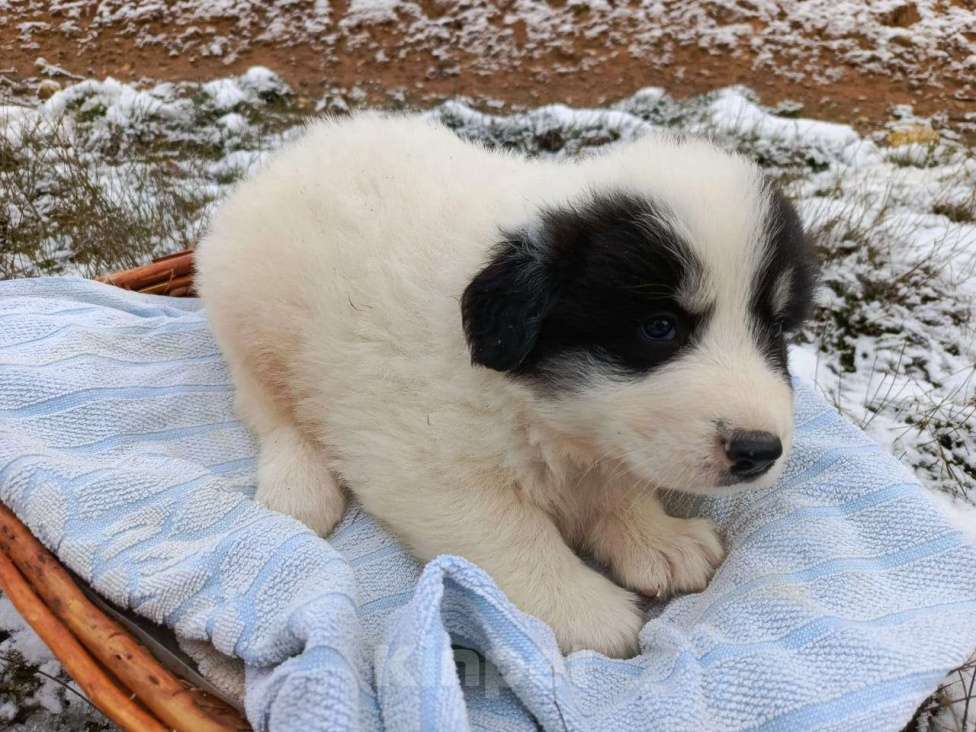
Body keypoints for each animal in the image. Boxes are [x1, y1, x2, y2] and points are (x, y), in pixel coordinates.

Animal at [196, 114, 816, 656]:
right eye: (659, 328)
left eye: (775, 329)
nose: (759, 451)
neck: (540, 408)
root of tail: (297, 150)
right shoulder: (423, 456)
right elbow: (509, 531)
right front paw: (584, 608)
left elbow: (617, 485)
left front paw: (656, 538)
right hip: (253, 312)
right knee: (268, 406)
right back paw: (300, 485)